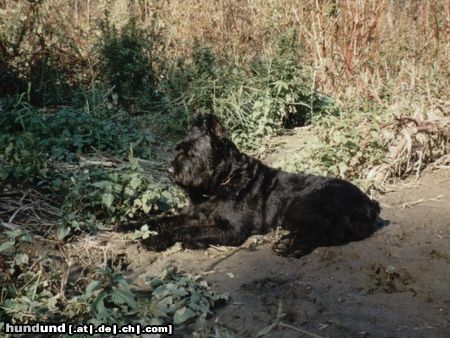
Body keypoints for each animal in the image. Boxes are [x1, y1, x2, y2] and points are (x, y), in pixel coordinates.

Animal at [141, 114, 380, 256]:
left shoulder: (233, 230)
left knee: (330, 231)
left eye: (191, 153)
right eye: (179, 149)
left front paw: (158, 240)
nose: (170, 171)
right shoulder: (192, 215)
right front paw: (135, 225)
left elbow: (187, 229)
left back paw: (289, 245)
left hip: (300, 205)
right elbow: (164, 220)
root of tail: (370, 204)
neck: (220, 184)